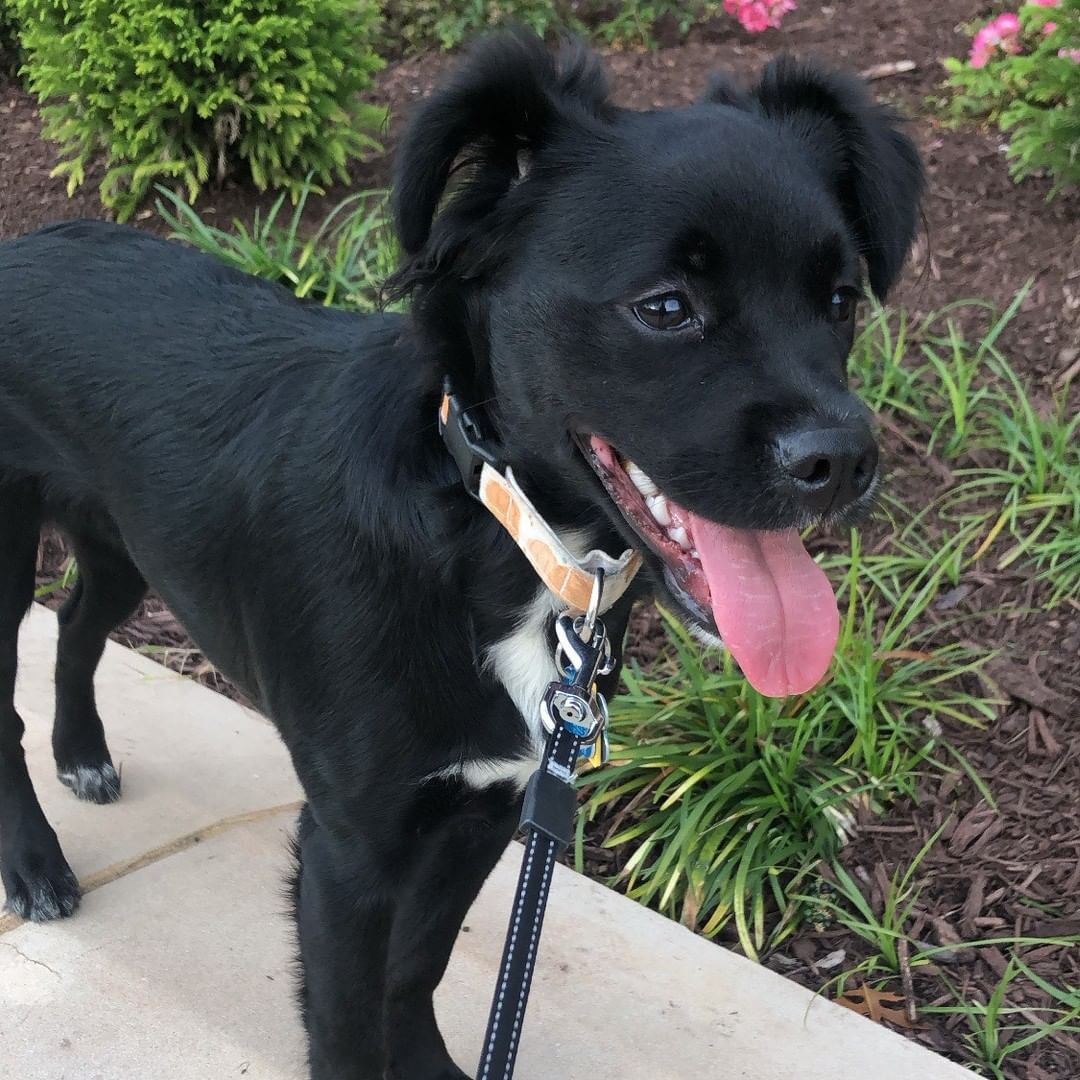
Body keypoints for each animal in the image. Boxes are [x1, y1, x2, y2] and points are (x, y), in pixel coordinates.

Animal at [2, 29, 928, 1080]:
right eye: (665, 307)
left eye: (839, 300)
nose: (844, 460)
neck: (491, 535)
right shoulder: (350, 846)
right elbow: (345, 1020)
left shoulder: (491, 804)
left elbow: (420, 964)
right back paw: (34, 862)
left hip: (125, 542)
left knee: (78, 621)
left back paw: (83, 750)